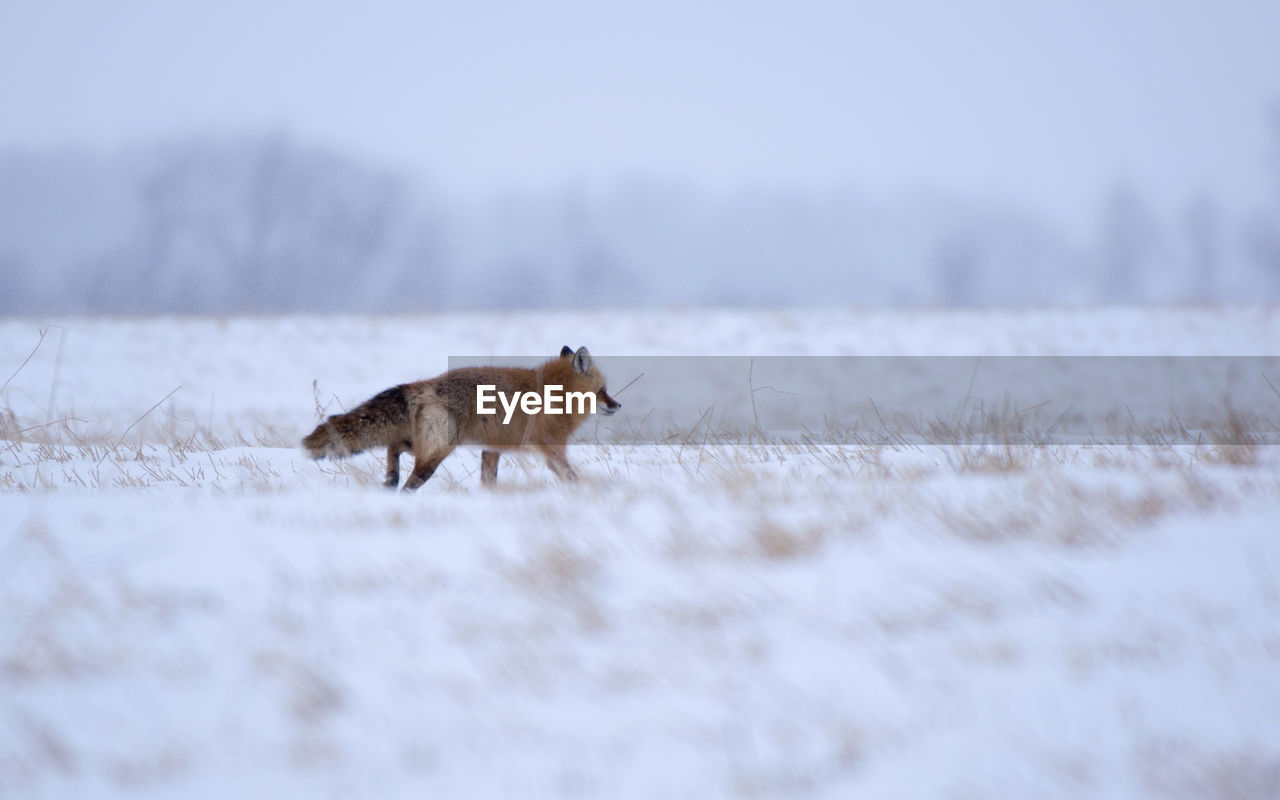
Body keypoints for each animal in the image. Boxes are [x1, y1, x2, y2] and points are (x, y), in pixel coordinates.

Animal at [300, 343, 619, 486]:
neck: (557, 393)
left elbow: (488, 482)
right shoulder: (551, 449)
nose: (617, 406)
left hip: (424, 445)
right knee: (411, 478)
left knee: (394, 448)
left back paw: (390, 479)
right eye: (603, 390)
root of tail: (426, 384)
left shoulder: (493, 449)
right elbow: (571, 476)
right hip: (437, 452)